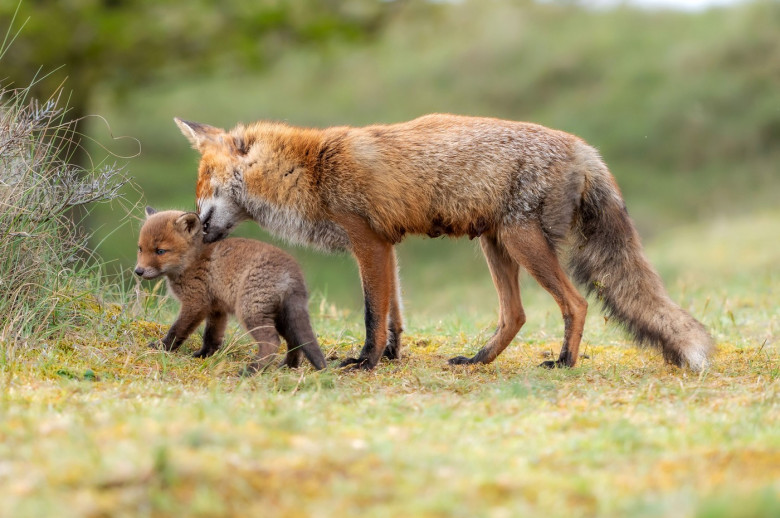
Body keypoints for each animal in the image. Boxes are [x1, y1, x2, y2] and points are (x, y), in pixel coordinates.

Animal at [175, 114, 712, 374]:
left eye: (203, 181)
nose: (190, 221)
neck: (311, 171)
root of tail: (585, 149)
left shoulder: (367, 241)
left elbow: (372, 313)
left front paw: (366, 363)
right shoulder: (386, 246)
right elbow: (394, 314)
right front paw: (392, 357)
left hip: (521, 242)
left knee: (575, 303)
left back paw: (564, 362)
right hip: (496, 245)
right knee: (515, 315)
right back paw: (479, 361)